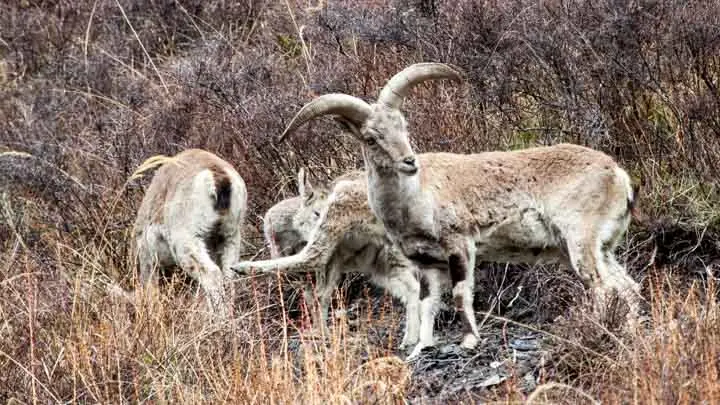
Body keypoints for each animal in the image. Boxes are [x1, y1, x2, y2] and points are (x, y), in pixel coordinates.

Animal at [134, 148, 247, 317]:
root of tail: (218, 177)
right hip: (229, 239)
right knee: (228, 278)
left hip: (187, 244)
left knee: (212, 274)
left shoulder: (149, 261)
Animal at [236, 170, 424, 350]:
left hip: (340, 214)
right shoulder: (332, 262)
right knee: (412, 288)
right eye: (315, 213)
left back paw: (241, 267)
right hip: (381, 262)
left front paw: (320, 335)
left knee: (311, 256)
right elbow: (318, 296)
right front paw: (321, 333)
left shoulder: (331, 255)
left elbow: (319, 293)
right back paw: (410, 339)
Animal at [262, 62, 642, 359]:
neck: (418, 199)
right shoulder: (426, 263)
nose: (409, 161)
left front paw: (470, 340)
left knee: (606, 288)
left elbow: (461, 294)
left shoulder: (460, 245)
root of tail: (618, 175)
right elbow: (428, 302)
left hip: (580, 241)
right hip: (599, 248)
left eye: (403, 125)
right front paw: (420, 347)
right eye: (370, 137)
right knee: (628, 287)